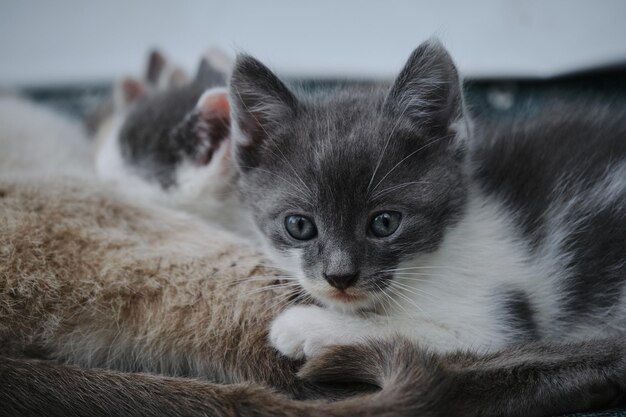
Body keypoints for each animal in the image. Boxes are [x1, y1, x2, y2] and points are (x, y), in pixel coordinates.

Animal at [221, 39, 624, 358]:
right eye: (299, 225)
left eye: (385, 222)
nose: (340, 276)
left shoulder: (495, 320)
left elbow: (407, 330)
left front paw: (307, 325)